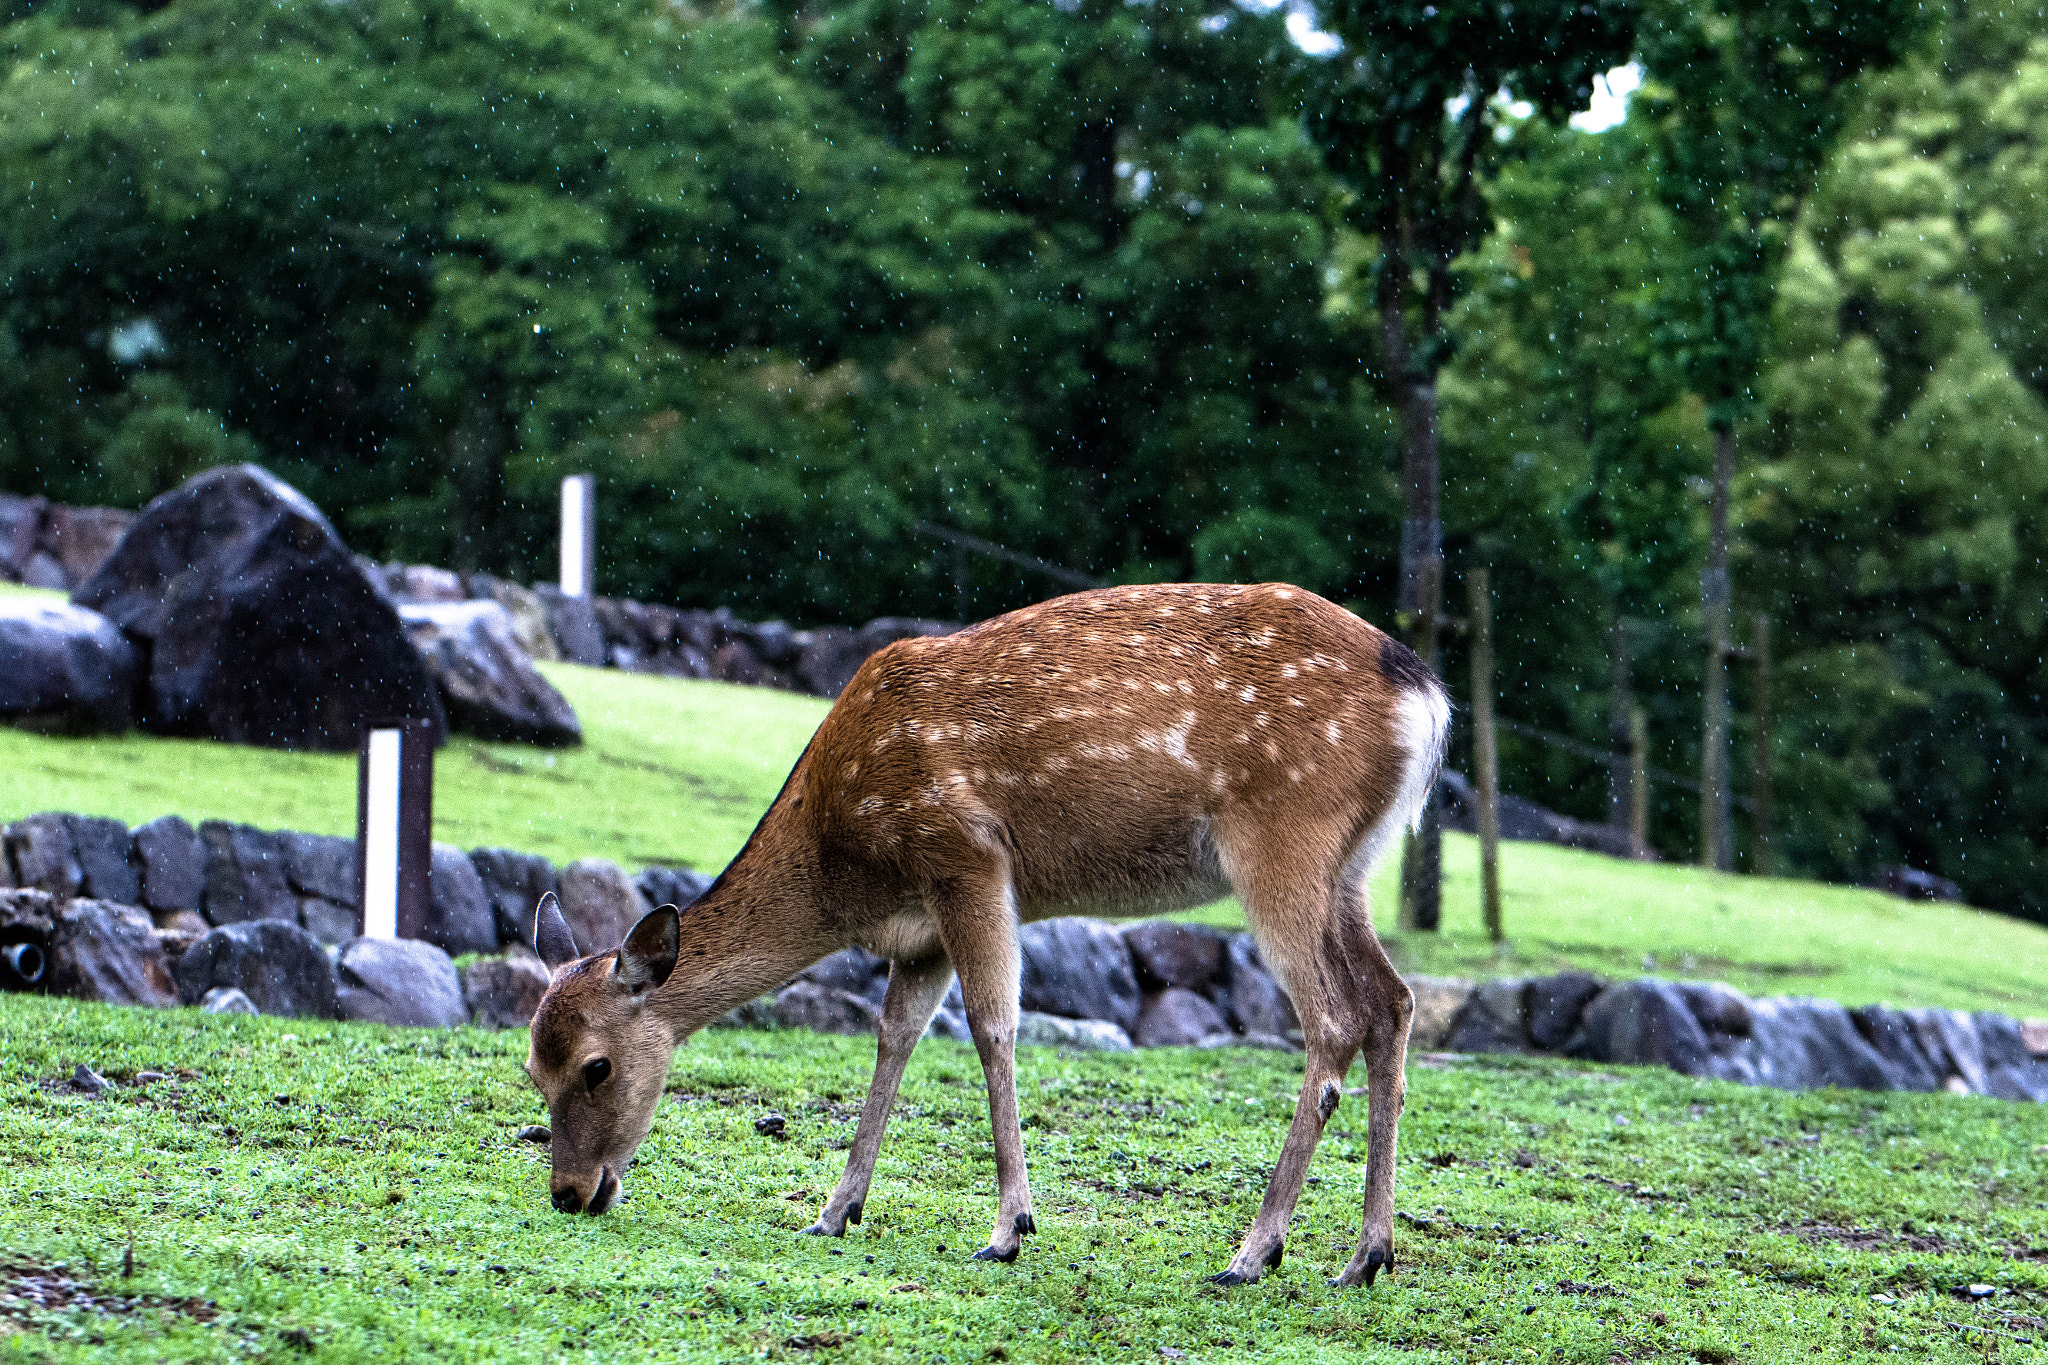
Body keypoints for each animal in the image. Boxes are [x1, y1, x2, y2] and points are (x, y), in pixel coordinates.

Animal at [520, 581, 1449, 1285]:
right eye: (532, 1066)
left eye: (597, 1066)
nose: (569, 1191)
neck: (844, 866)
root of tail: (1427, 695)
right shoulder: (921, 932)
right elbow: (894, 1035)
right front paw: (834, 1210)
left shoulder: (965, 858)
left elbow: (993, 1025)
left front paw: (1009, 1227)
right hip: (1352, 869)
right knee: (1393, 1001)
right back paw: (1366, 1254)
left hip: (1283, 835)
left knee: (1333, 1016)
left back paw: (1254, 1251)